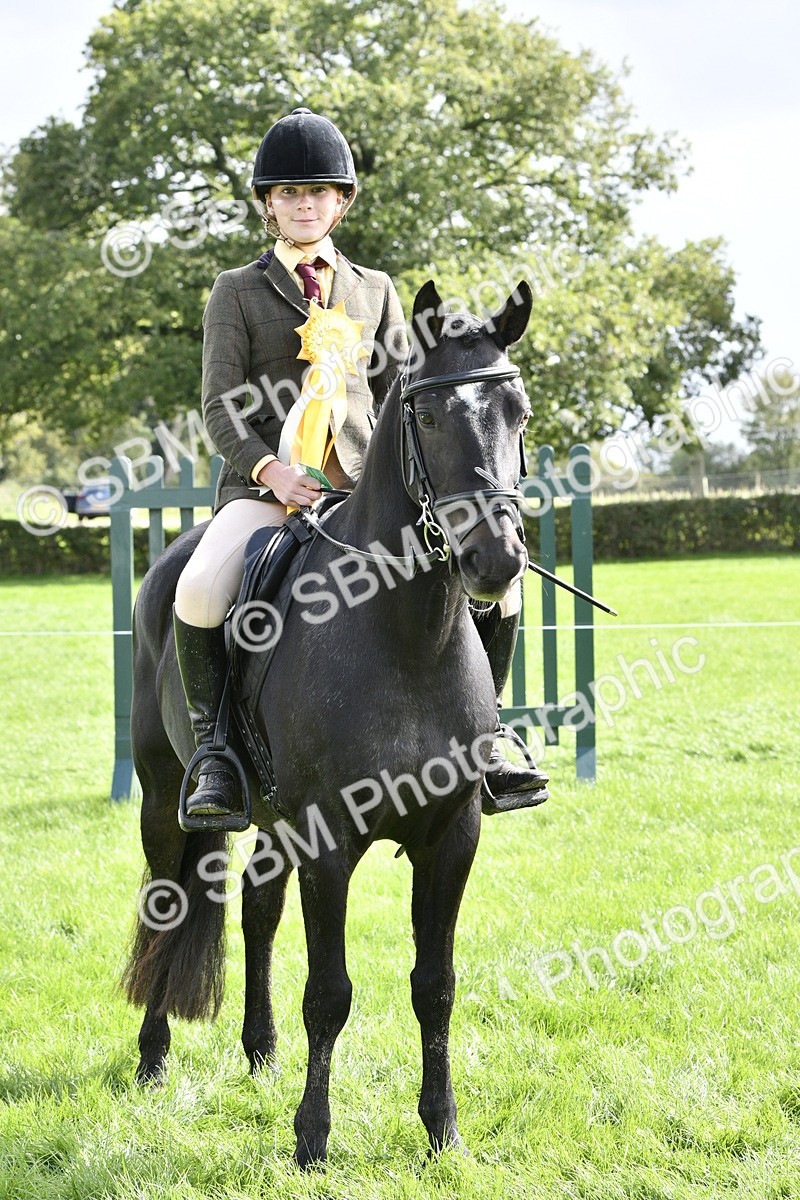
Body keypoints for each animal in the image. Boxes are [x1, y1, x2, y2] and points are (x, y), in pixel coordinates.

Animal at [123, 279, 535, 1167]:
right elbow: (331, 993)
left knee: (256, 903)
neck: (406, 636)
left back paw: (259, 1050)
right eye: (426, 415)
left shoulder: (452, 834)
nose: (495, 562)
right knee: (168, 908)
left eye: (518, 411)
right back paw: (152, 1058)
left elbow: (435, 986)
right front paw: (312, 1139)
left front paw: (443, 1131)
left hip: (275, 820)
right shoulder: (327, 836)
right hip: (165, 797)